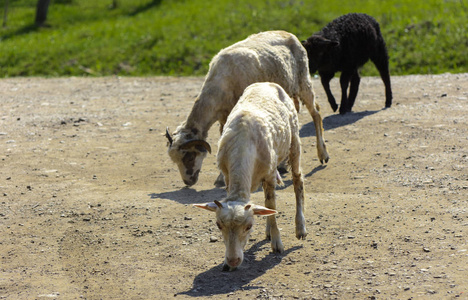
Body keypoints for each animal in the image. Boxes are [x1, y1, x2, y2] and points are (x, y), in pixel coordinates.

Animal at [165, 29, 330, 186]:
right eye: (175, 160)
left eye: (189, 156)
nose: (188, 182)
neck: (220, 84)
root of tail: (289, 33)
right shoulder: (224, 116)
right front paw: (221, 178)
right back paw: (284, 165)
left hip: (303, 80)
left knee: (316, 113)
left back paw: (322, 154)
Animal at [194, 82, 308, 272]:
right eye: (218, 225)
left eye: (249, 227)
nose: (232, 261)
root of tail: (266, 83)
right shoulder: (228, 177)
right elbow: (268, 206)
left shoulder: (270, 174)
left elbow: (271, 205)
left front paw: (277, 243)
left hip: (294, 140)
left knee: (297, 181)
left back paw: (300, 228)